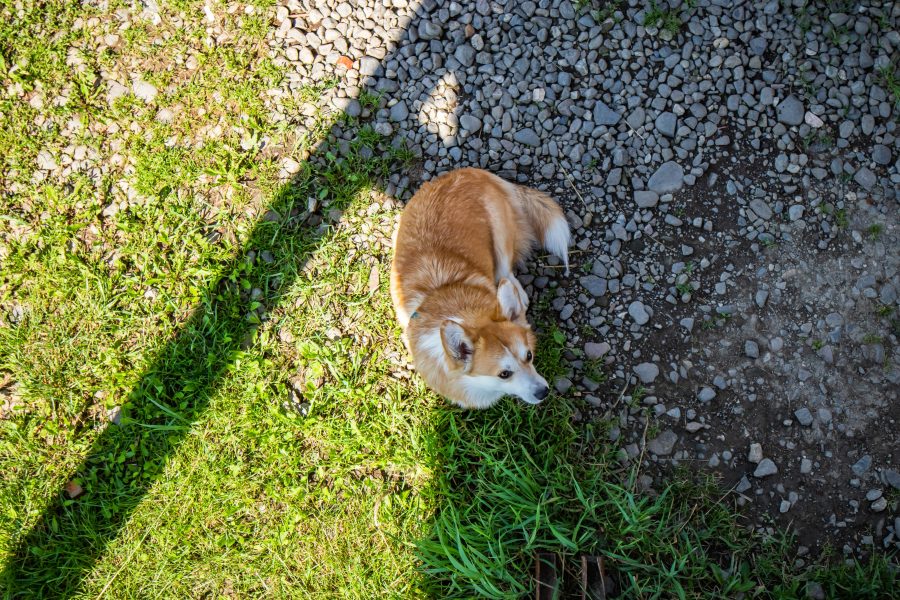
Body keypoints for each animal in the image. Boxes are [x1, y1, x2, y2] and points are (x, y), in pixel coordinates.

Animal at [386, 170, 568, 412]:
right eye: (504, 374)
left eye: (529, 355)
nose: (544, 392)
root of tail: (466, 172)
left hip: (499, 230)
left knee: (505, 270)